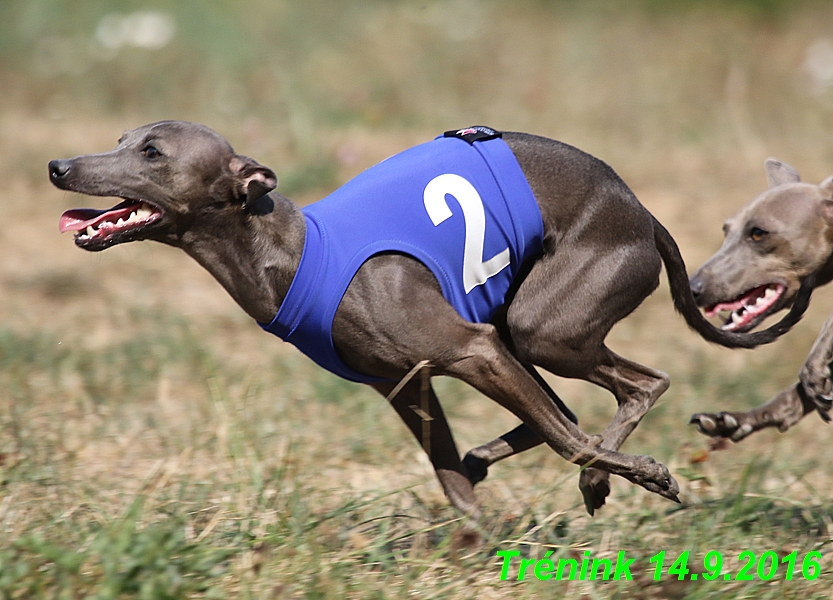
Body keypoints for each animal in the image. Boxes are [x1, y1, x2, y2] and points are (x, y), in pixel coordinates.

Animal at [47, 122, 812, 516]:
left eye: (152, 152)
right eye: (124, 137)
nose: (58, 165)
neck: (294, 248)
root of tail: (642, 212)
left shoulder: (468, 349)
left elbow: (568, 441)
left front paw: (642, 476)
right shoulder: (408, 385)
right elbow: (455, 479)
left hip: (540, 328)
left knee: (635, 387)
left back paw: (604, 477)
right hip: (517, 331)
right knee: (564, 409)